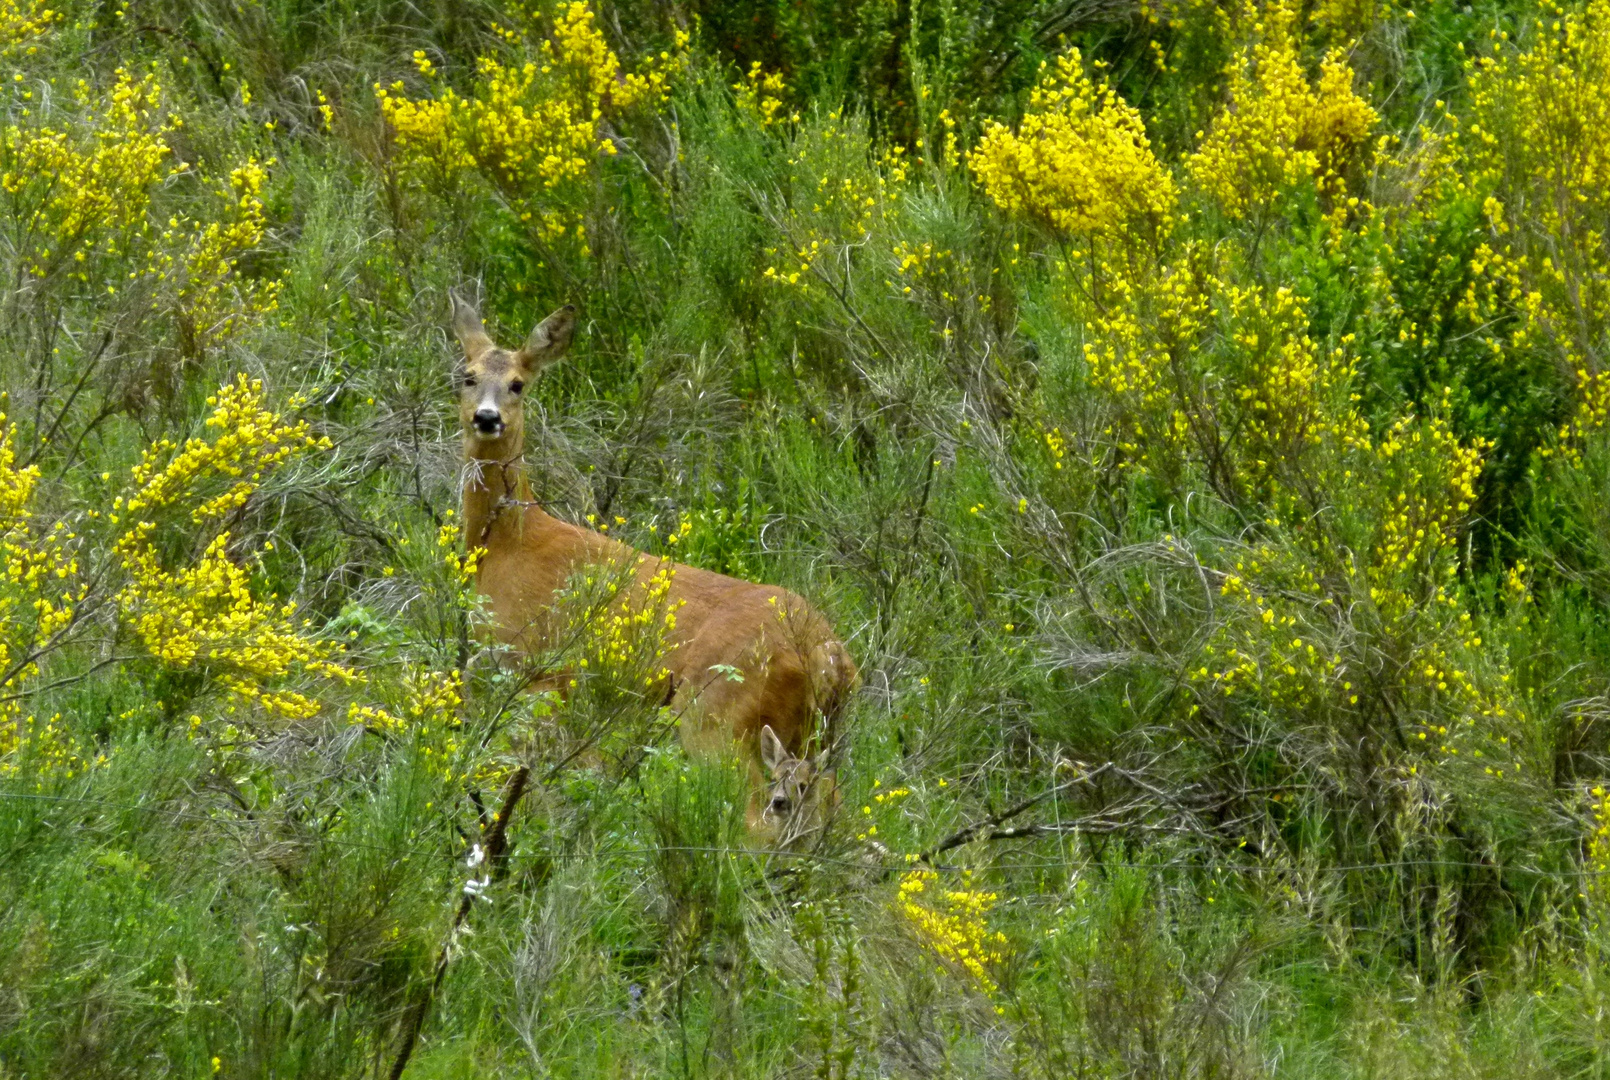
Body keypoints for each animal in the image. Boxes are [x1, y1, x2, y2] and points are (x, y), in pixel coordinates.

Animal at [450, 296, 856, 843]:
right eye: (467, 376)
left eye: (518, 383)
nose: (487, 418)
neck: (508, 542)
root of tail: (827, 653)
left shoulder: (535, 668)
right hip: (813, 734)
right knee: (829, 804)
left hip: (718, 716)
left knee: (755, 817)